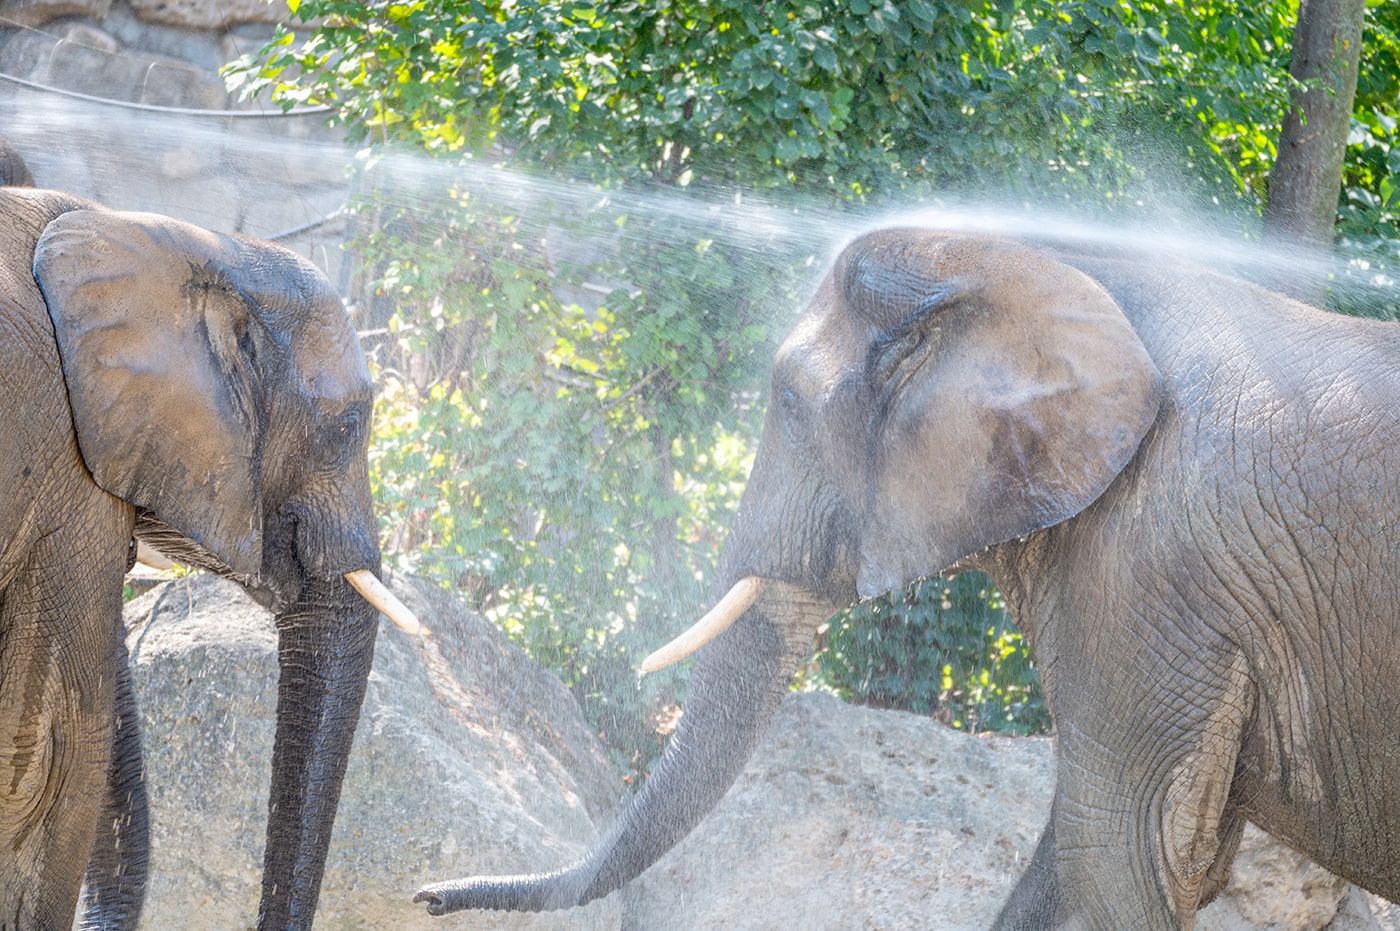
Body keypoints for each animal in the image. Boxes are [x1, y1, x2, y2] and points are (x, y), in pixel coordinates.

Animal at [417, 226, 1400, 929]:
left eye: (789, 406)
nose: (428, 896)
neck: (1045, 263)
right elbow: (1079, 853)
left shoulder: (1150, 574)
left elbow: (1118, 851)